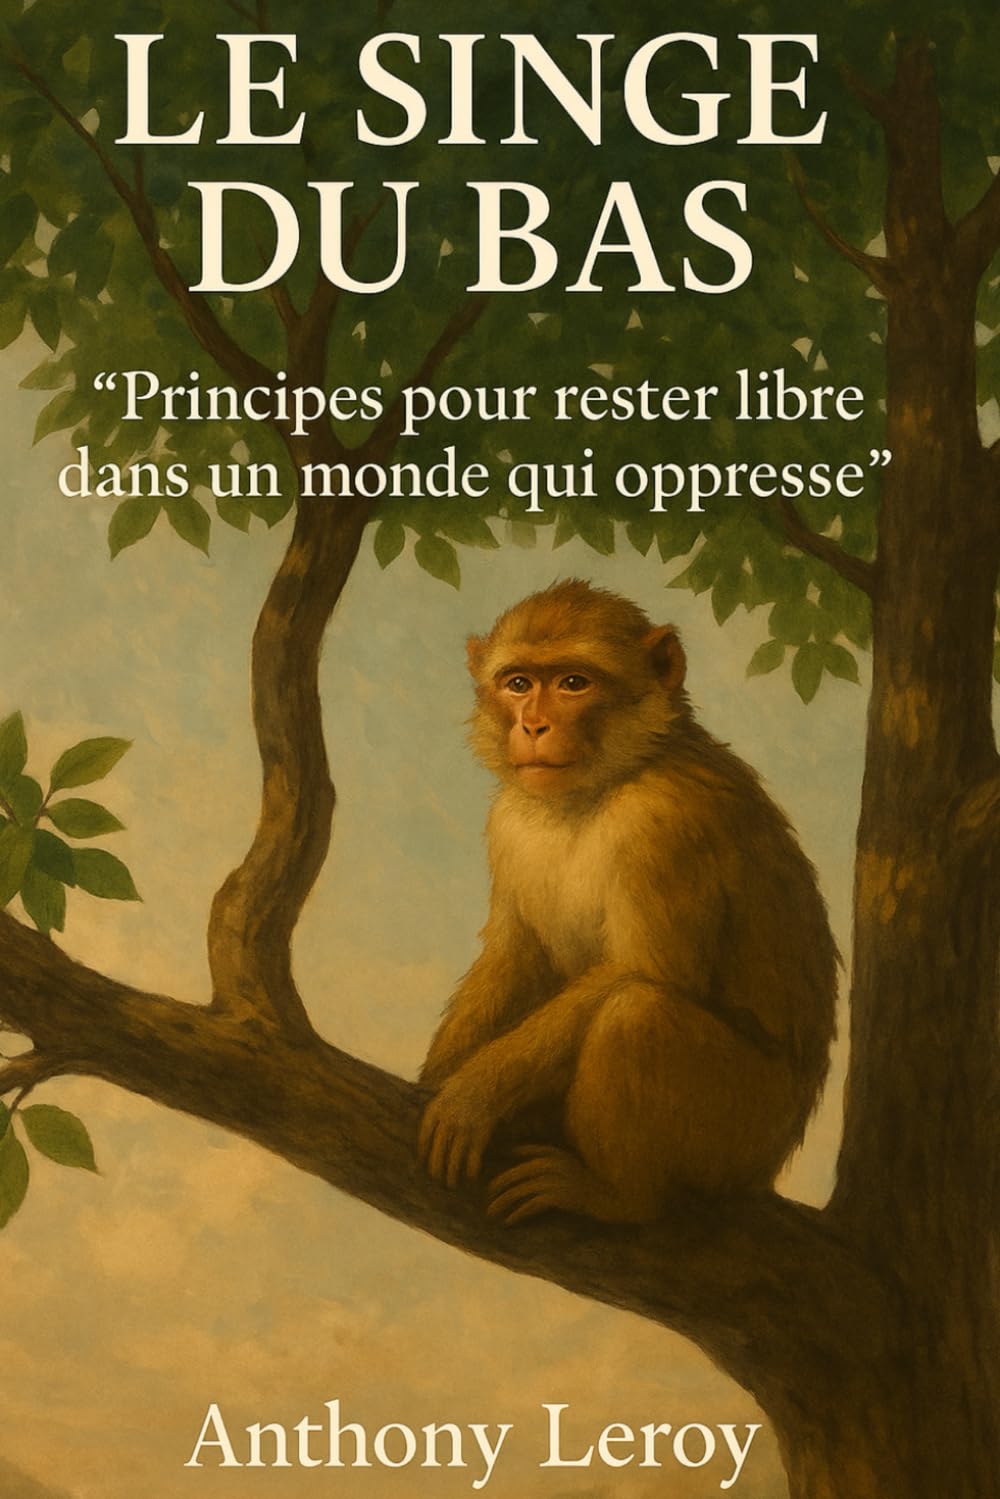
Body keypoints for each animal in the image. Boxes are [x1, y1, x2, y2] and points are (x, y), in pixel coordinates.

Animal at [417, 580, 837, 1225]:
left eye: (573, 683)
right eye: (519, 683)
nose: (533, 725)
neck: (599, 784)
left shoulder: (665, 819)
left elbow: (644, 968)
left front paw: (474, 1089)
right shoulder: (508, 821)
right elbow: (514, 957)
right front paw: (439, 1074)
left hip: (741, 1132)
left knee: (636, 1011)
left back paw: (618, 1196)